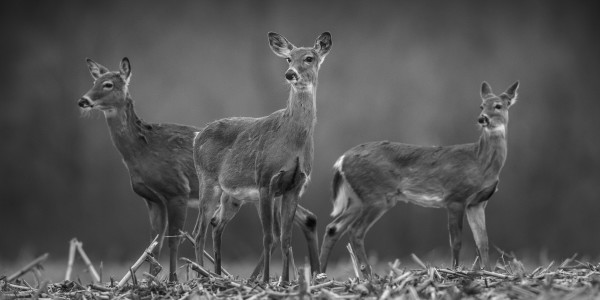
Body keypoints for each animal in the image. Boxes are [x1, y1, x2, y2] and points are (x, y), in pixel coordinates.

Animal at [79, 56, 324, 282]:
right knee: (303, 220)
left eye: (108, 84)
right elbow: (154, 242)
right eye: (94, 80)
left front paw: (172, 279)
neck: (141, 150)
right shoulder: (152, 199)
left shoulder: (177, 191)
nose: (83, 100)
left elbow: (172, 239)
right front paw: (151, 278)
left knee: (296, 223)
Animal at [193, 31, 330, 282]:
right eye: (288, 59)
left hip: (233, 196)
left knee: (216, 224)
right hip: (207, 182)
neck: (293, 139)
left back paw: (217, 275)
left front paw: (285, 281)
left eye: (309, 58)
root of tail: (197, 135)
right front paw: (266, 280)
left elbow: (285, 238)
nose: (290, 74)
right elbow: (268, 237)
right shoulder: (266, 180)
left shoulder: (294, 185)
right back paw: (201, 276)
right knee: (199, 231)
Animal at [318, 80, 520, 278]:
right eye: (481, 106)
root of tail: (341, 160)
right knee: (355, 231)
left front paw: (488, 272)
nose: (482, 118)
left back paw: (320, 275)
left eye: (498, 105)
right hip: (375, 196)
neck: (480, 161)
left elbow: (483, 241)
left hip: (357, 199)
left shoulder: (477, 203)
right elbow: (456, 241)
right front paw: (454, 270)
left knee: (333, 228)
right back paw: (368, 275)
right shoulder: (455, 197)